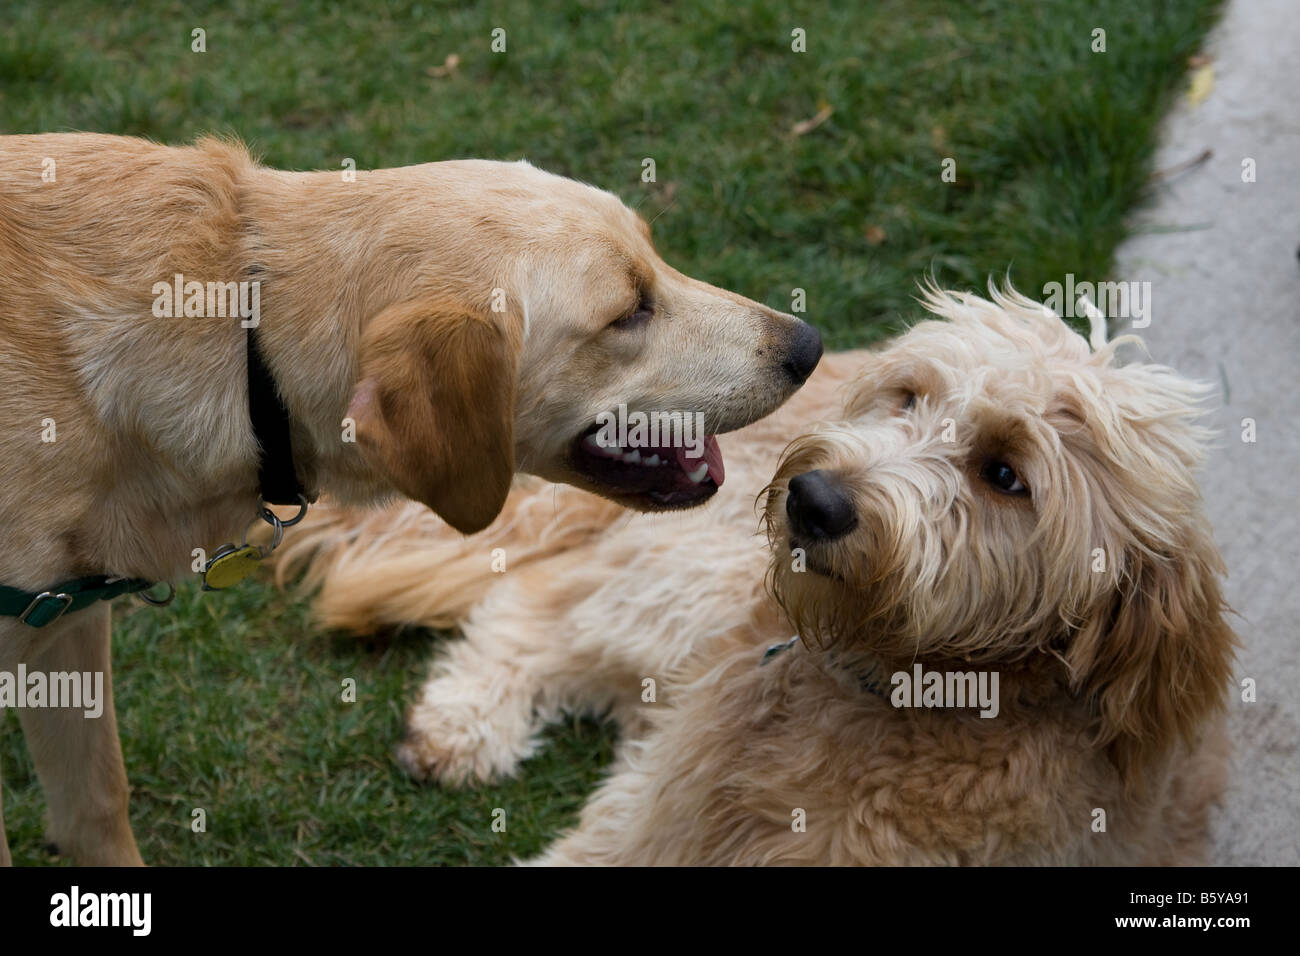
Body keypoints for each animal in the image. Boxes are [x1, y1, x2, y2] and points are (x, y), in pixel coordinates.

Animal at [279, 283, 1232, 868]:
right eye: (910, 396)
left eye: (1005, 475)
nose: (814, 500)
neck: (891, 696)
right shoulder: (663, 813)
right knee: (541, 604)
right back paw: (465, 721)